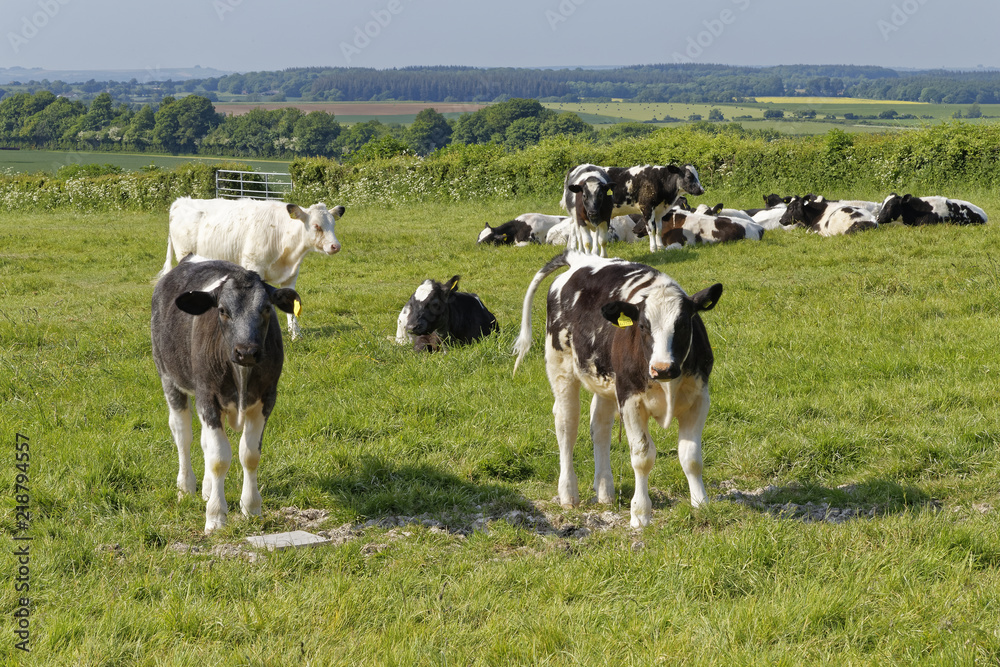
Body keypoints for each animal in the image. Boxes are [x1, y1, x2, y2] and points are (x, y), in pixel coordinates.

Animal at [151, 254, 300, 532]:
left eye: (266, 308)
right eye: (222, 310)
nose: (247, 351)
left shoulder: (267, 398)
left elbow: (249, 455)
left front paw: (251, 508)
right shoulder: (207, 397)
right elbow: (219, 458)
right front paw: (216, 516)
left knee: (204, 443)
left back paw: (208, 489)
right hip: (169, 378)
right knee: (183, 436)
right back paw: (186, 487)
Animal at [160, 197, 348, 340]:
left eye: (333, 225)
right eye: (316, 226)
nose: (336, 246)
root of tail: (181, 201)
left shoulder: (291, 276)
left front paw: (296, 334)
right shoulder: (254, 268)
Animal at [516, 250, 720, 528]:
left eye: (684, 325)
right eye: (643, 326)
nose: (662, 368)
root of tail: (578, 259)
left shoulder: (699, 399)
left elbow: (691, 457)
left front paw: (701, 503)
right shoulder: (630, 400)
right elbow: (643, 457)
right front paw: (640, 514)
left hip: (606, 382)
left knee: (600, 427)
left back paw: (605, 491)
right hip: (562, 368)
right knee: (566, 425)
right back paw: (568, 493)